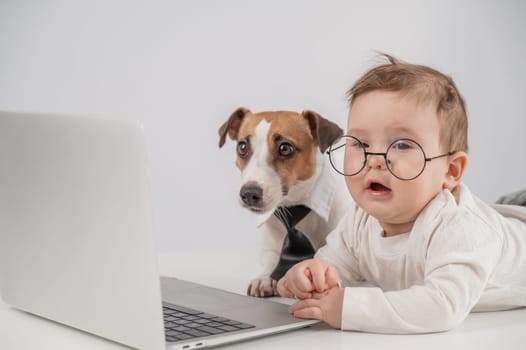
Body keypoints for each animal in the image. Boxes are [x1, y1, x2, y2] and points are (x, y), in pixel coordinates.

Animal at [219, 108, 354, 296]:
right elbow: (271, 260)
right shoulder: (270, 247)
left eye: (284, 148)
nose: (248, 193)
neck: (294, 205)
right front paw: (264, 278)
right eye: (242, 147)